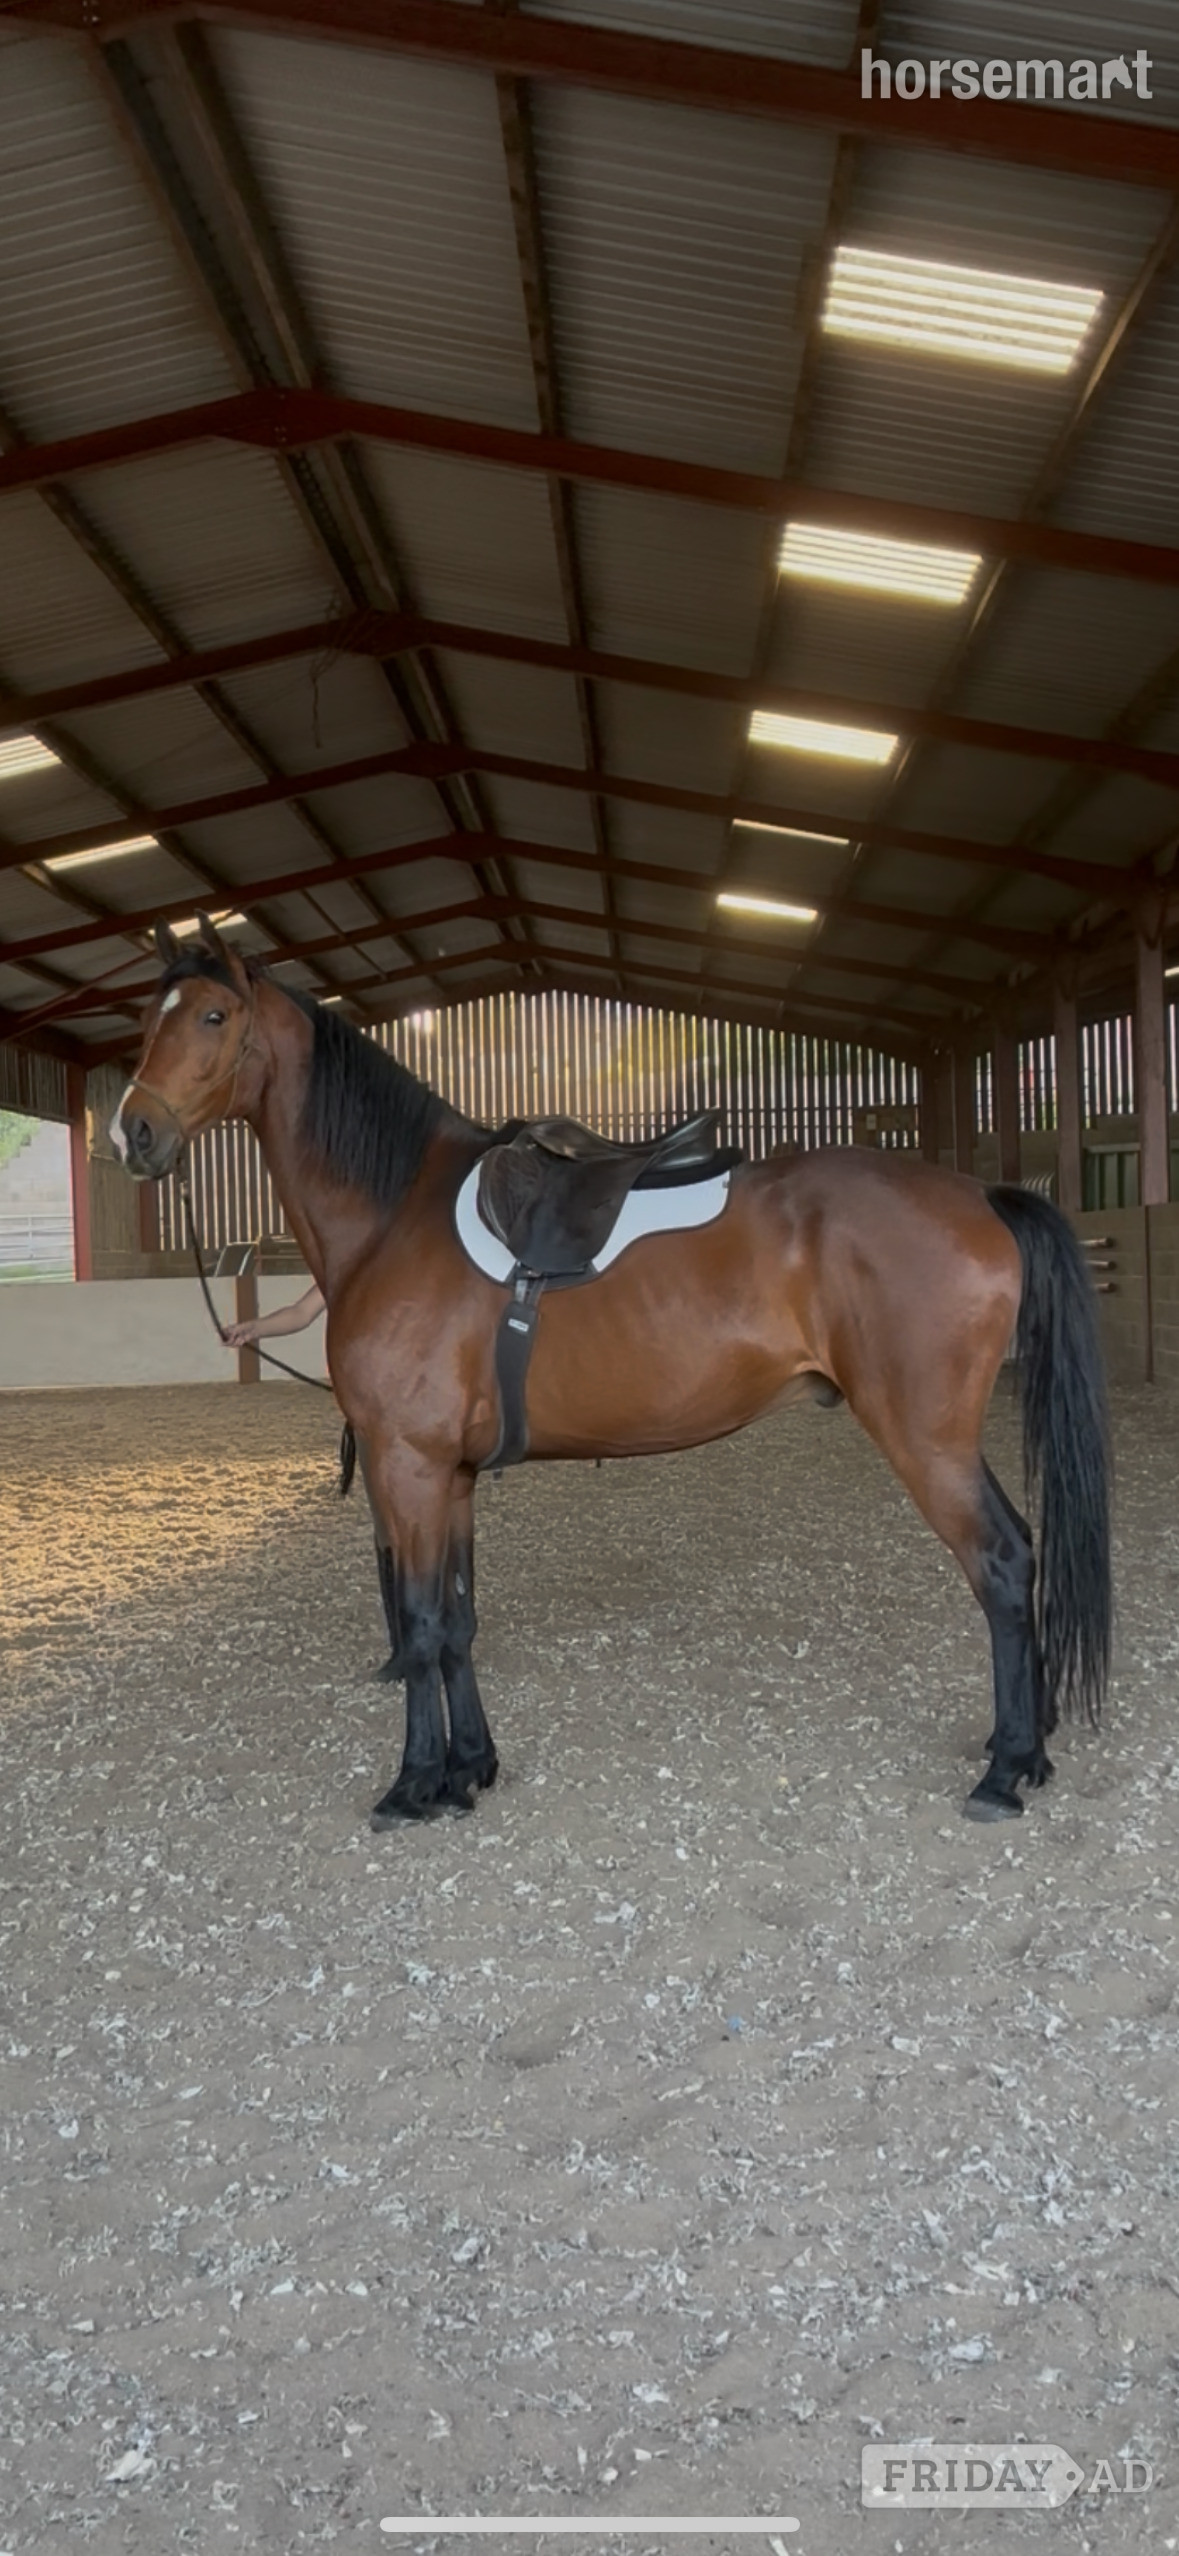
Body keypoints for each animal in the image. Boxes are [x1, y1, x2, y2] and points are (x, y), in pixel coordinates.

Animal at [110, 918, 1112, 1831]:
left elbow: (424, 1624)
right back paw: (1021, 1750)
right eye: (149, 1018)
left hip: (922, 1438)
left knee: (1000, 1561)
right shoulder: (452, 1477)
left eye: (211, 1015)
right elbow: (461, 1623)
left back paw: (1004, 1769)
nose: (134, 1132)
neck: (397, 1216)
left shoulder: (408, 1466)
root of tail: (978, 1194)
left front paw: (414, 1785)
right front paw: (470, 1769)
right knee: (1021, 1553)